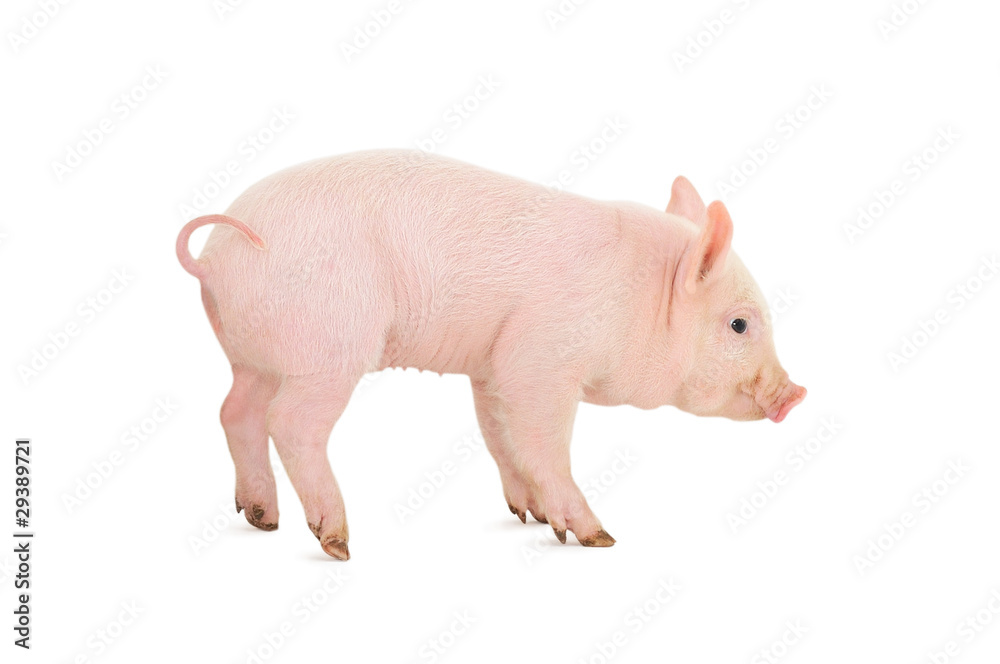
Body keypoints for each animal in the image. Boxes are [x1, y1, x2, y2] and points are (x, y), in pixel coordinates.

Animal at [176, 150, 806, 560]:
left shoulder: (491, 367)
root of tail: (216, 257)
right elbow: (542, 444)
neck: (637, 300)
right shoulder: (538, 361)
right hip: (329, 349)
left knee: (235, 411)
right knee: (290, 423)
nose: (796, 393)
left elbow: (501, 438)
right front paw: (598, 538)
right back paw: (337, 543)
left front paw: (528, 516)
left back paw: (263, 521)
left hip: (255, 358)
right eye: (739, 324)